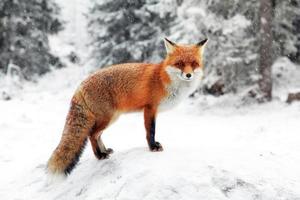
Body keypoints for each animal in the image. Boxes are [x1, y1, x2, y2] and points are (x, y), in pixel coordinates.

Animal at [47, 37, 207, 175]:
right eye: (180, 64)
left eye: (194, 64)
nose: (188, 75)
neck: (164, 79)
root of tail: (80, 85)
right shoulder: (150, 108)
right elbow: (150, 131)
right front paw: (153, 147)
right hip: (107, 118)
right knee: (91, 134)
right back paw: (99, 155)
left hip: (111, 118)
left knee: (97, 135)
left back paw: (104, 151)